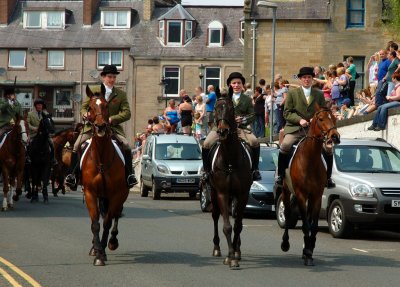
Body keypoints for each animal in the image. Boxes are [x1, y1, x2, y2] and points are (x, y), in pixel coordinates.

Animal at [82, 85, 129, 268]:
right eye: (89, 108)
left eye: (107, 106)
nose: (101, 126)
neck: (101, 159)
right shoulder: (90, 192)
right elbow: (95, 224)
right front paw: (97, 252)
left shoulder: (117, 194)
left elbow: (108, 222)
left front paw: (102, 252)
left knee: (115, 215)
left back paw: (112, 242)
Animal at [208, 97, 252, 270]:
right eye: (215, 108)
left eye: (232, 109)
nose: (222, 131)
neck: (230, 160)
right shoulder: (222, 193)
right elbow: (227, 227)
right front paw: (230, 257)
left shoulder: (243, 194)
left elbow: (238, 225)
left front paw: (234, 254)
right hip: (214, 193)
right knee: (215, 216)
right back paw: (217, 248)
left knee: (238, 221)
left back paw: (237, 249)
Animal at [282, 104, 340, 266]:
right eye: (320, 119)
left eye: (334, 118)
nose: (335, 136)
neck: (310, 160)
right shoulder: (301, 195)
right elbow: (305, 225)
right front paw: (307, 251)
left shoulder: (317, 196)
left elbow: (313, 226)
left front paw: (309, 251)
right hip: (286, 191)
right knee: (287, 214)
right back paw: (285, 243)